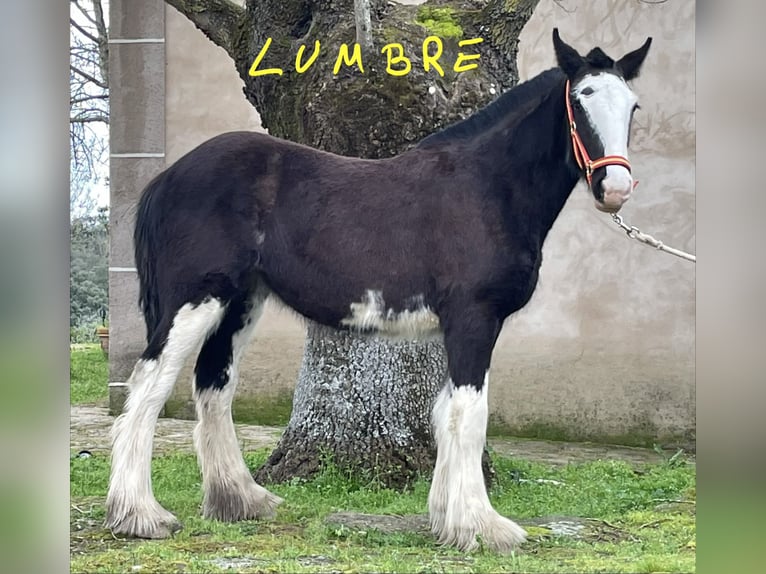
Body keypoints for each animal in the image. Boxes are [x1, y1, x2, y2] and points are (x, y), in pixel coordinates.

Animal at [105, 29, 652, 553]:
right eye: (581, 98)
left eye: (633, 106)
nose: (615, 189)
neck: (487, 188)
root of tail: (168, 177)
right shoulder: (474, 319)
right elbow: (470, 416)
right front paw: (483, 527)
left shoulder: (456, 327)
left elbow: (444, 415)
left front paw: (447, 520)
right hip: (197, 300)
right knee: (150, 386)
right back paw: (141, 515)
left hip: (240, 302)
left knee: (214, 385)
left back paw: (240, 500)